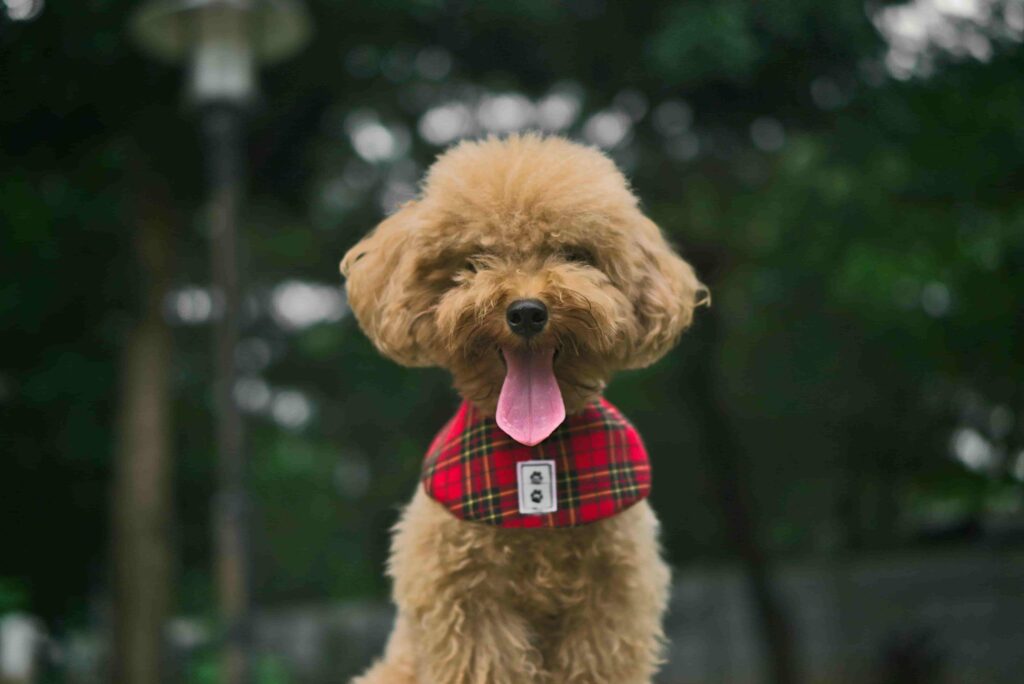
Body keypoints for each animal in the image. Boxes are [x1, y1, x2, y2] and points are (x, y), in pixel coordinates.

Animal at [339, 135, 708, 684]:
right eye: (476, 258)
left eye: (575, 254)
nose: (528, 312)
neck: (536, 451)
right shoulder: (468, 605)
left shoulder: (611, 606)